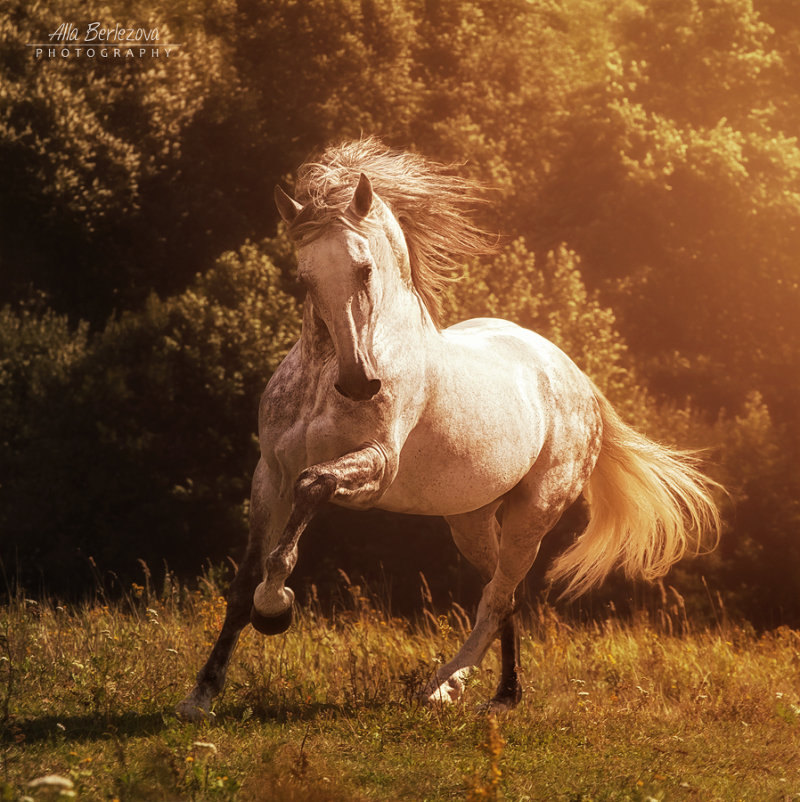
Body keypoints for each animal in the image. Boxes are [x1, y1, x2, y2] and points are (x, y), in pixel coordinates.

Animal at [178, 139, 720, 720]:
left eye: (364, 269)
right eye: (303, 278)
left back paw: (455, 690)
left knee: (498, 597)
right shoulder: (270, 476)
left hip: (534, 512)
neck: (324, 377)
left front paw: (276, 608)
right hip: (471, 519)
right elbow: (243, 580)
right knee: (504, 592)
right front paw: (200, 694)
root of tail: (575, 376)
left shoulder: (374, 469)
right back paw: (490, 692)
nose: (359, 382)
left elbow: (311, 489)